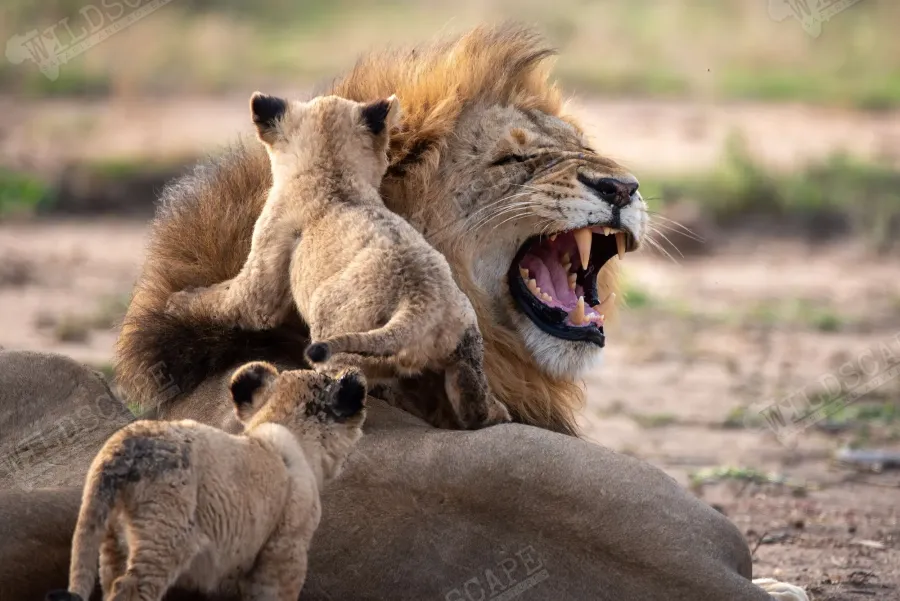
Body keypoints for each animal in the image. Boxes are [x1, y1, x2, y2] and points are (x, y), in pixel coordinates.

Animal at [46, 362, 366, 601]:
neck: (284, 424)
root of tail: (124, 445)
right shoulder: (284, 551)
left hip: (110, 540)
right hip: (162, 538)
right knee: (131, 589)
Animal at [166, 92, 510, 429]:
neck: (331, 171)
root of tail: (418, 304)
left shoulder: (265, 263)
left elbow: (230, 300)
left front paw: (176, 302)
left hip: (334, 330)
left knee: (350, 382)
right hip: (465, 345)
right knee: (472, 404)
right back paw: (496, 413)